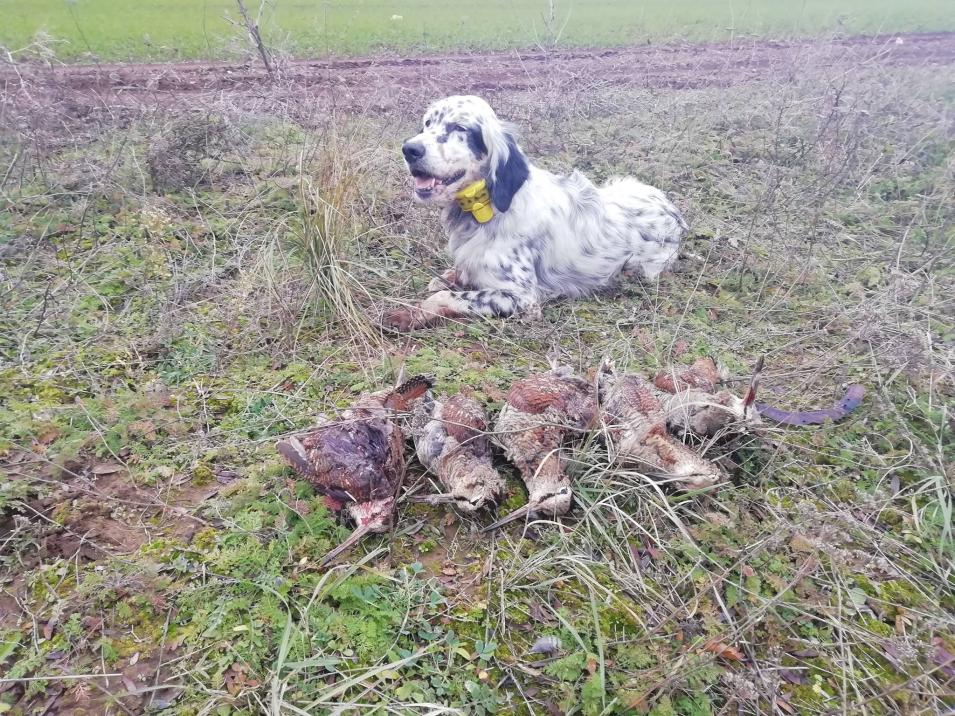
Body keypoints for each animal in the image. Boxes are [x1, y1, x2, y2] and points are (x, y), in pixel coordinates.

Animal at [382, 95, 687, 331]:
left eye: (459, 127)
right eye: (427, 124)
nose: (409, 149)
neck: (485, 208)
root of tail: (676, 214)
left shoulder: (522, 297)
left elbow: (446, 297)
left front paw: (408, 314)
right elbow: (454, 275)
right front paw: (445, 277)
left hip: (641, 267)